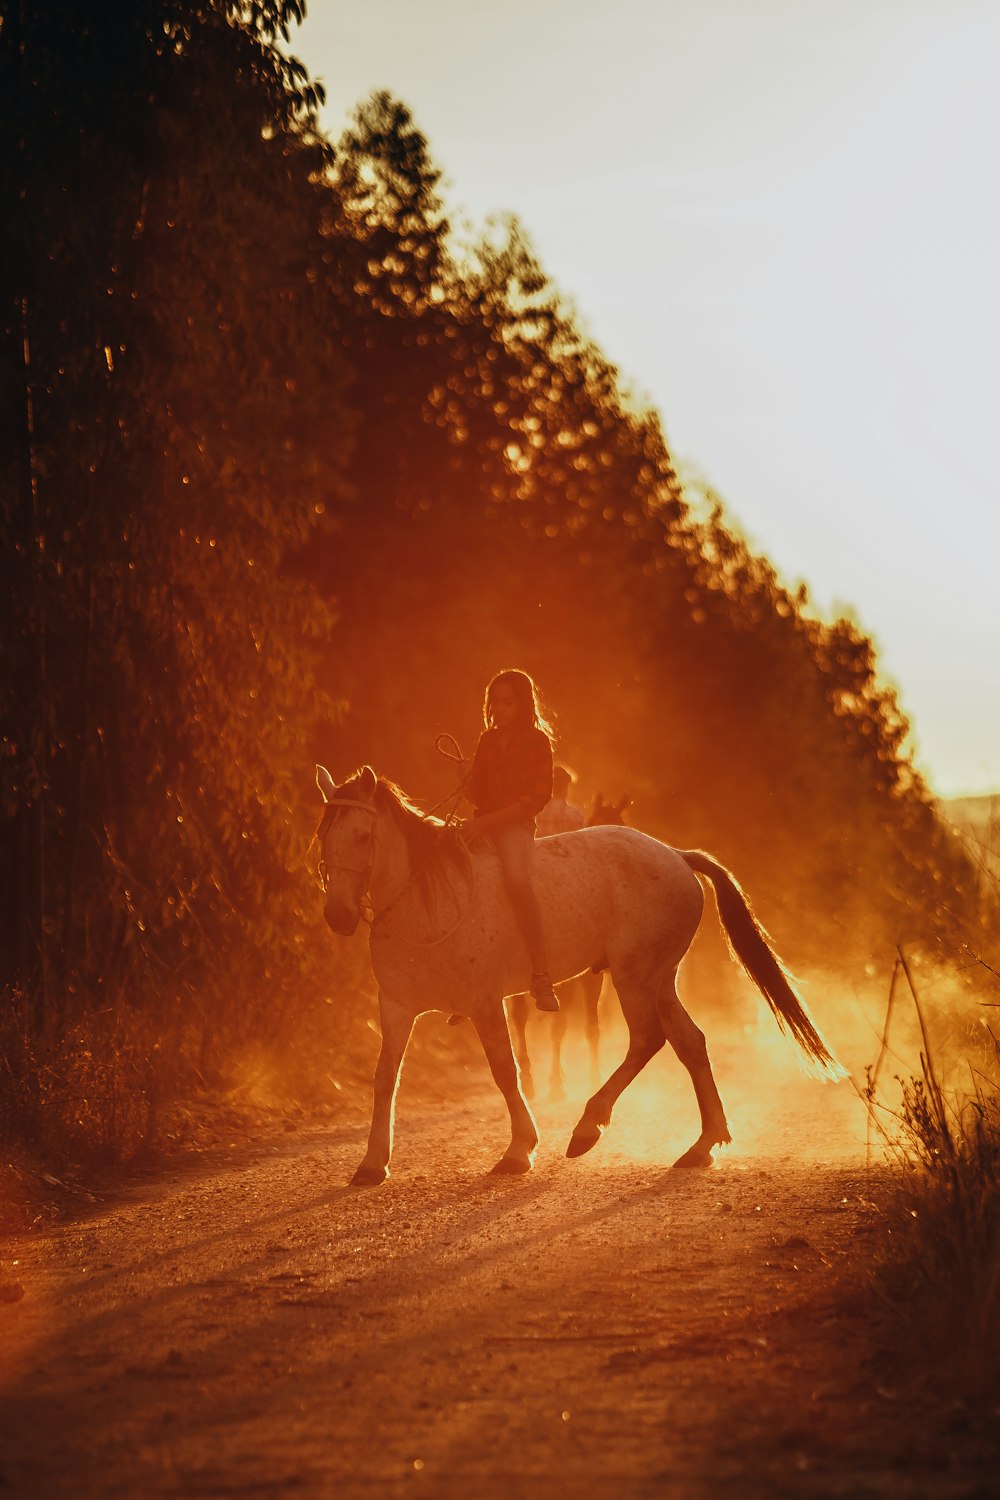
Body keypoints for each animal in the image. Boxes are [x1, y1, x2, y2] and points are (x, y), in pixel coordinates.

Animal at [512, 792, 629, 1098]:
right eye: (597, 823)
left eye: (623, 824)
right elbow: (557, 1024)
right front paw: (554, 1084)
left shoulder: (588, 978)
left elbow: (589, 1026)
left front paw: (593, 1078)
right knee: (520, 1019)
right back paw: (529, 1079)